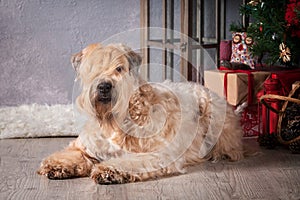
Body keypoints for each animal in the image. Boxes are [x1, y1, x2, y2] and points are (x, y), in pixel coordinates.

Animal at [37, 43, 245, 184]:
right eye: (92, 69)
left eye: (119, 68)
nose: (104, 86)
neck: (114, 122)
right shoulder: (84, 147)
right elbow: (72, 154)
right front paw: (56, 166)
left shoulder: (158, 153)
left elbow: (129, 162)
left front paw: (109, 170)